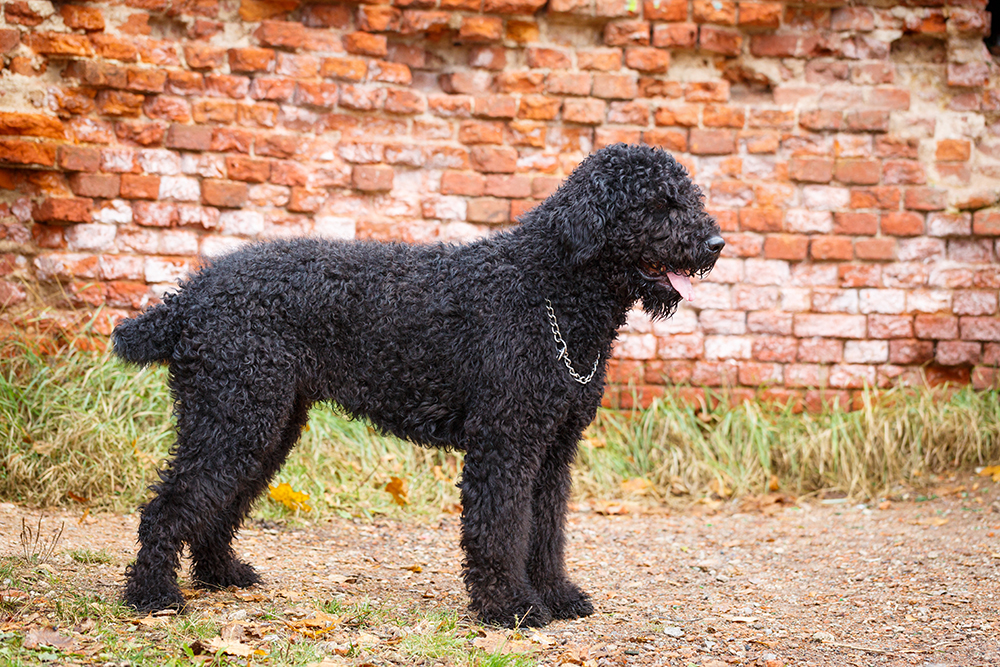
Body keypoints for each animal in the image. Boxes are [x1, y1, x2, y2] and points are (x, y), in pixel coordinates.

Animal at [115, 144, 728, 628]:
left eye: (687, 198)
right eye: (657, 204)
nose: (716, 243)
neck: (547, 287)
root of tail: (189, 297)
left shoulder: (554, 451)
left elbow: (546, 532)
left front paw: (555, 595)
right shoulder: (505, 443)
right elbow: (499, 529)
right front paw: (511, 607)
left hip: (263, 425)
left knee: (218, 504)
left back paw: (221, 574)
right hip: (233, 418)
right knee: (168, 507)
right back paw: (153, 595)